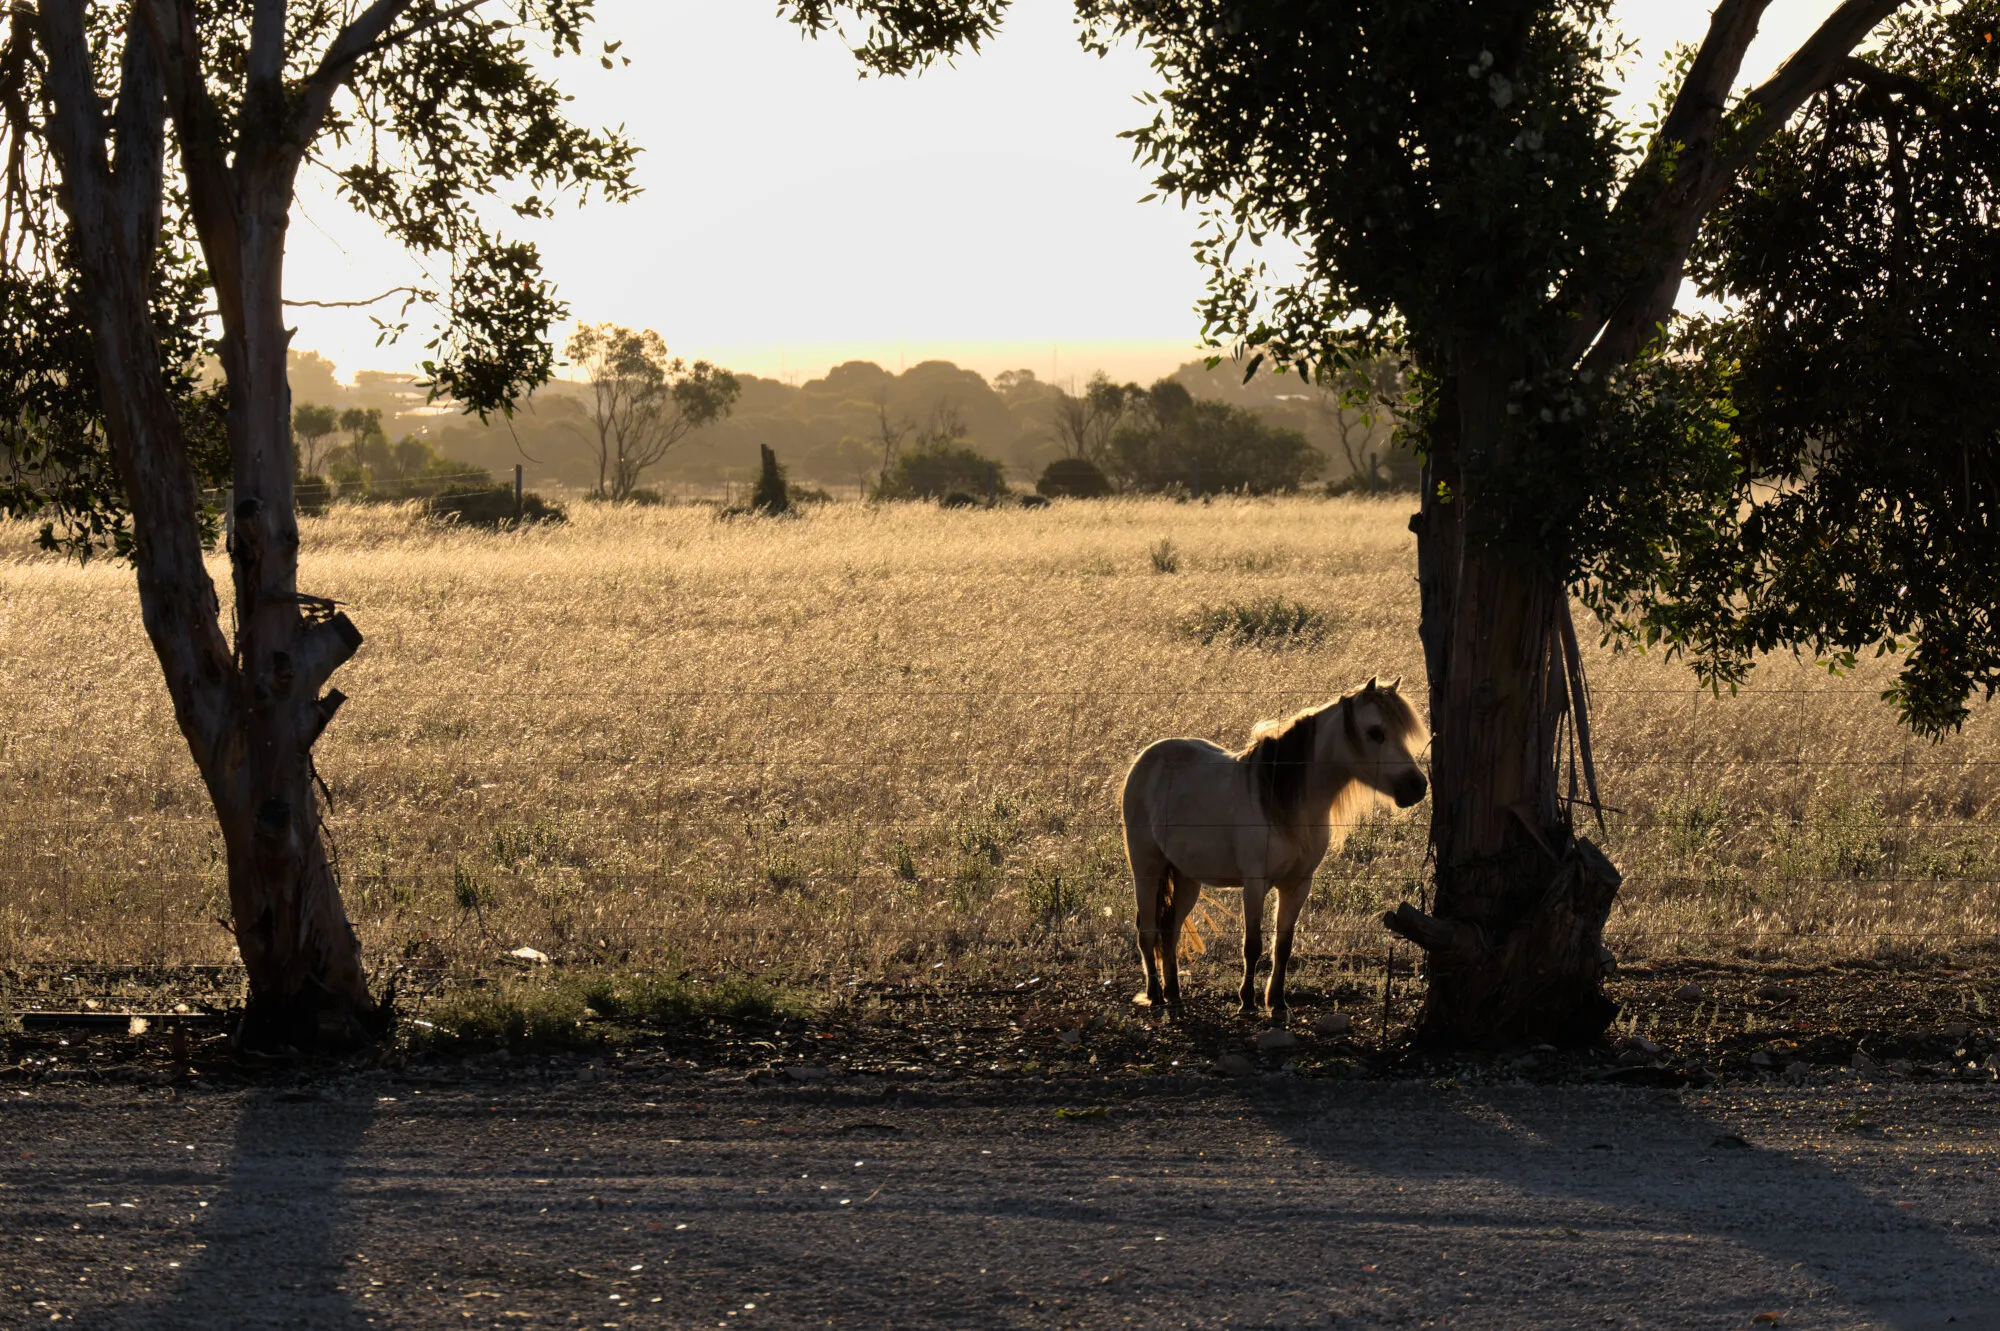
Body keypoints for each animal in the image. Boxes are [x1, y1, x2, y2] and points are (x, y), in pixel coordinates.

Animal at [1119, 677, 1429, 1021]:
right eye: (1376, 732)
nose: (1417, 786)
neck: (1282, 800)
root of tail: (1145, 759)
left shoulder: (1297, 886)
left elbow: (1283, 945)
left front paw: (1278, 1003)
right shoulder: (1254, 885)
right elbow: (1252, 944)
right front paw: (1247, 1002)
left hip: (1187, 877)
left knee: (1170, 930)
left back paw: (1174, 994)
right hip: (1147, 868)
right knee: (1148, 929)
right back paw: (1154, 994)